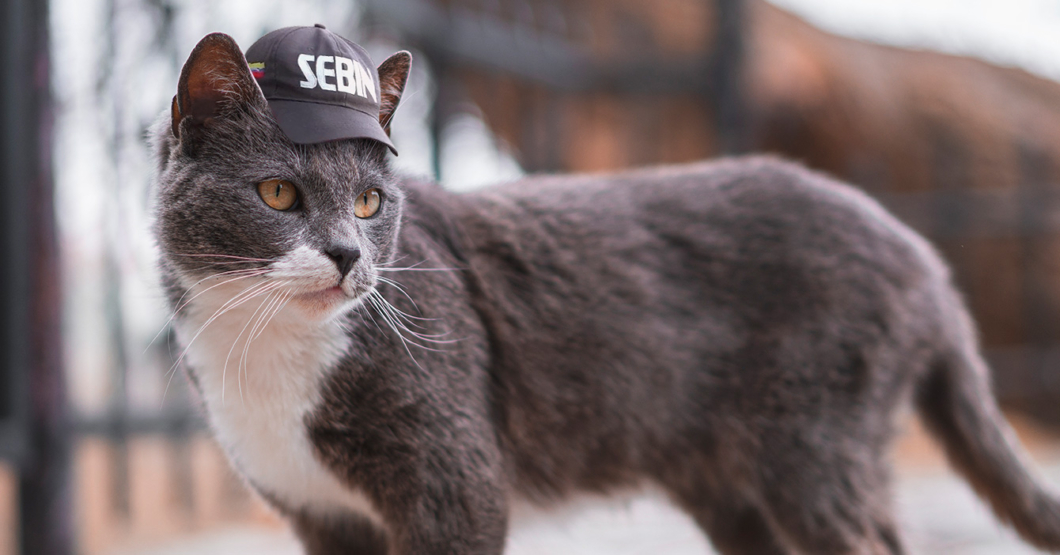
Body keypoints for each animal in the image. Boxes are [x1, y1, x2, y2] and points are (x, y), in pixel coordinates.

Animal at [153, 31, 1060, 555]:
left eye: (372, 203)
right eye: (278, 193)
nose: (348, 254)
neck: (266, 356)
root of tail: (925, 259)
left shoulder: (457, 486)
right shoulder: (322, 517)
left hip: (816, 449)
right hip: (734, 488)